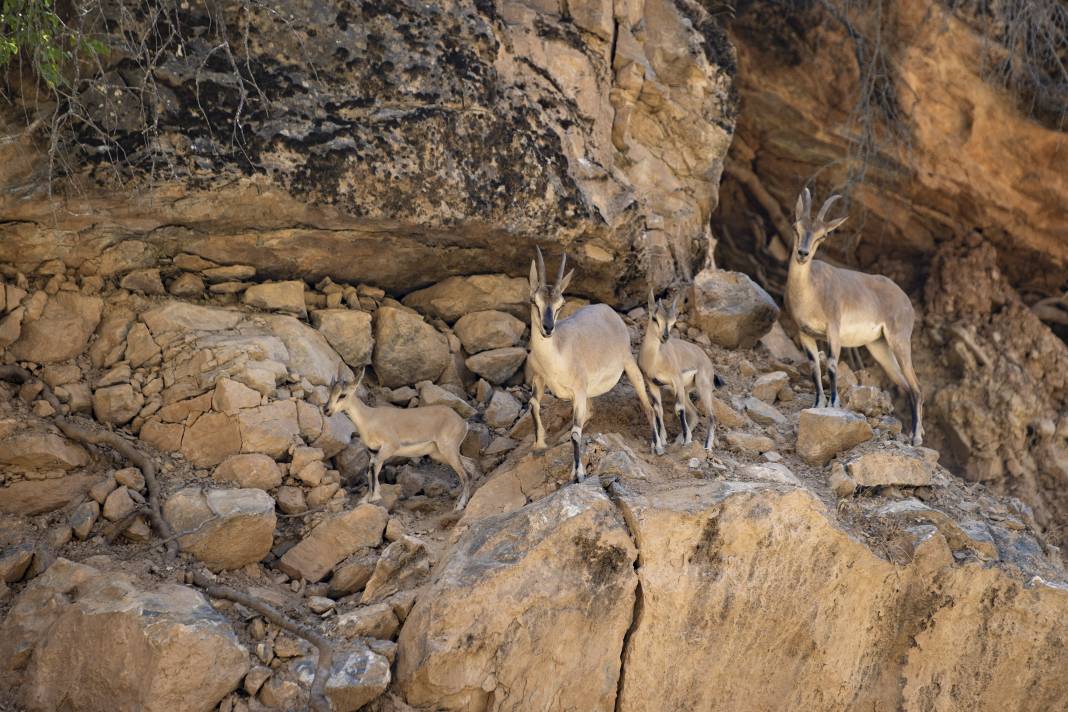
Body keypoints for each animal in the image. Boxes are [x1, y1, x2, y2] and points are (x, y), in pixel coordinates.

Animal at [326, 371, 474, 510]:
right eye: (330, 392)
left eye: (342, 395)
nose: (326, 410)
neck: (369, 418)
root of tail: (463, 423)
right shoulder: (374, 452)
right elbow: (371, 470)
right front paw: (366, 499)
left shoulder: (390, 447)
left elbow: (373, 469)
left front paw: (374, 498)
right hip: (440, 454)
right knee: (469, 466)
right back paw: (460, 501)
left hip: (448, 451)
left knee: (465, 474)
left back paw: (460, 506)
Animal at [525, 247, 657, 482]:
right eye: (534, 301)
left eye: (561, 304)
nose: (548, 328)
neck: (557, 354)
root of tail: (608, 311)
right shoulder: (540, 378)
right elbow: (533, 404)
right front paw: (539, 444)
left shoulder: (579, 390)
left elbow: (576, 433)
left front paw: (577, 473)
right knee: (591, 412)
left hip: (629, 366)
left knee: (648, 406)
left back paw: (657, 445)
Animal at [636, 292, 721, 454]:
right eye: (654, 317)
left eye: (673, 321)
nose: (665, 337)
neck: (655, 360)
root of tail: (705, 358)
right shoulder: (652, 384)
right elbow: (658, 410)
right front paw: (660, 442)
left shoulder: (676, 380)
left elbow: (678, 409)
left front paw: (686, 441)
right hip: (685, 391)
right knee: (695, 413)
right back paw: (681, 439)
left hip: (701, 388)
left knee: (711, 417)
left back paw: (706, 447)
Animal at [786, 188, 927, 446]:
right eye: (795, 227)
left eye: (823, 236)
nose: (802, 254)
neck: (811, 290)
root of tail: (905, 300)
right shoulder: (805, 334)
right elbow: (814, 366)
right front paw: (817, 403)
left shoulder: (833, 329)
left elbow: (831, 364)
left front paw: (833, 404)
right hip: (879, 346)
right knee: (904, 386)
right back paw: (913, 433)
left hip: (899, 340)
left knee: (917, 387)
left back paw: (916, 438)